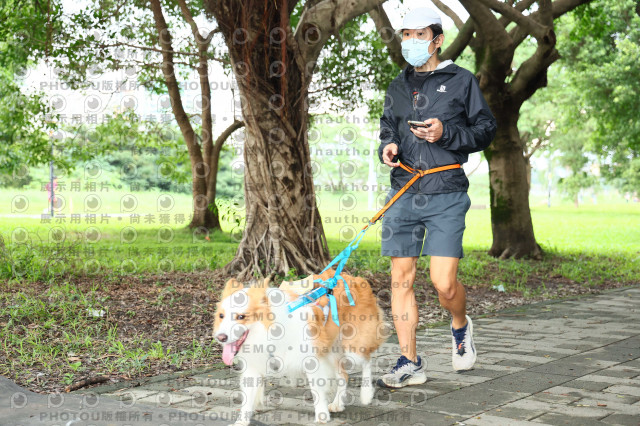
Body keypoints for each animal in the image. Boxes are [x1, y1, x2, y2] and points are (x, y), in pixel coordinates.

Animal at [212, 272, 388, 424]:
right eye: (221, 316)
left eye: (241, 316)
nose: (220, 337)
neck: (269, 329)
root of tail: (355, 278)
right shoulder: (254, 367)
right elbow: (248, 398)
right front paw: (241, 421)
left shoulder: (312, 361)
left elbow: (317, 389)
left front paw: (322, 415)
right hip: (330, 350)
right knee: (343, 375)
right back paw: (338, 403)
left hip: (353, 348)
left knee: (367, 361)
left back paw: (366, 394)